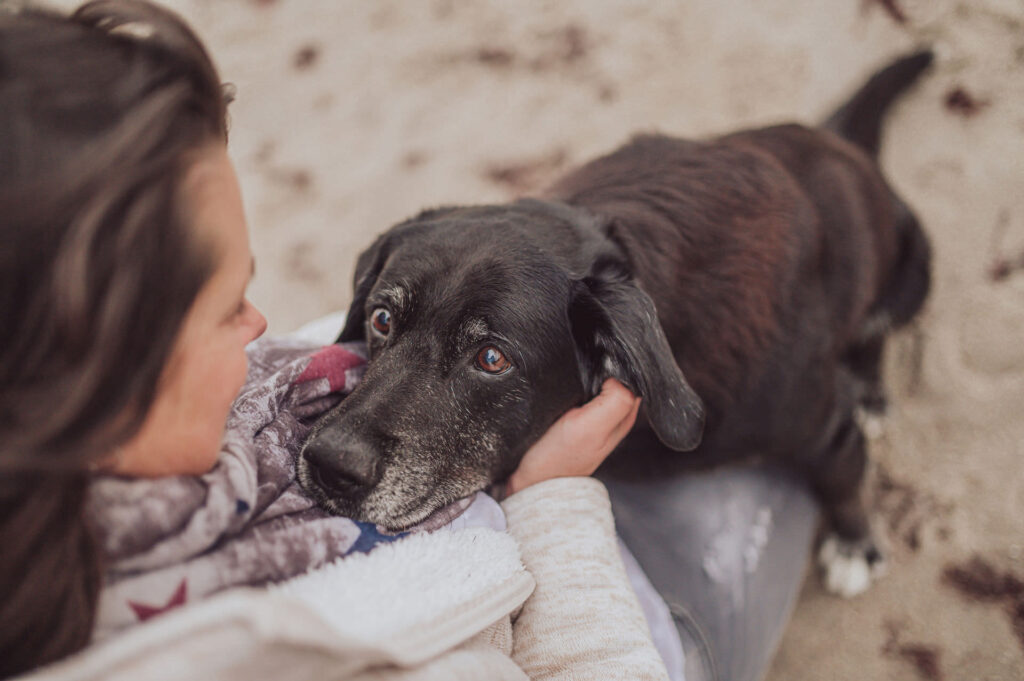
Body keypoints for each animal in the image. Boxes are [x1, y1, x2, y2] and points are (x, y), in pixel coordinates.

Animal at [299, 53, 933, 593]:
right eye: (382, 318)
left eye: (491, 359)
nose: (329, 466)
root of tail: (837, 138)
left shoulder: (826, 422)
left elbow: (844, 475)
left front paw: (854, 543)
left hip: (914, 270)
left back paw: (873, 391)